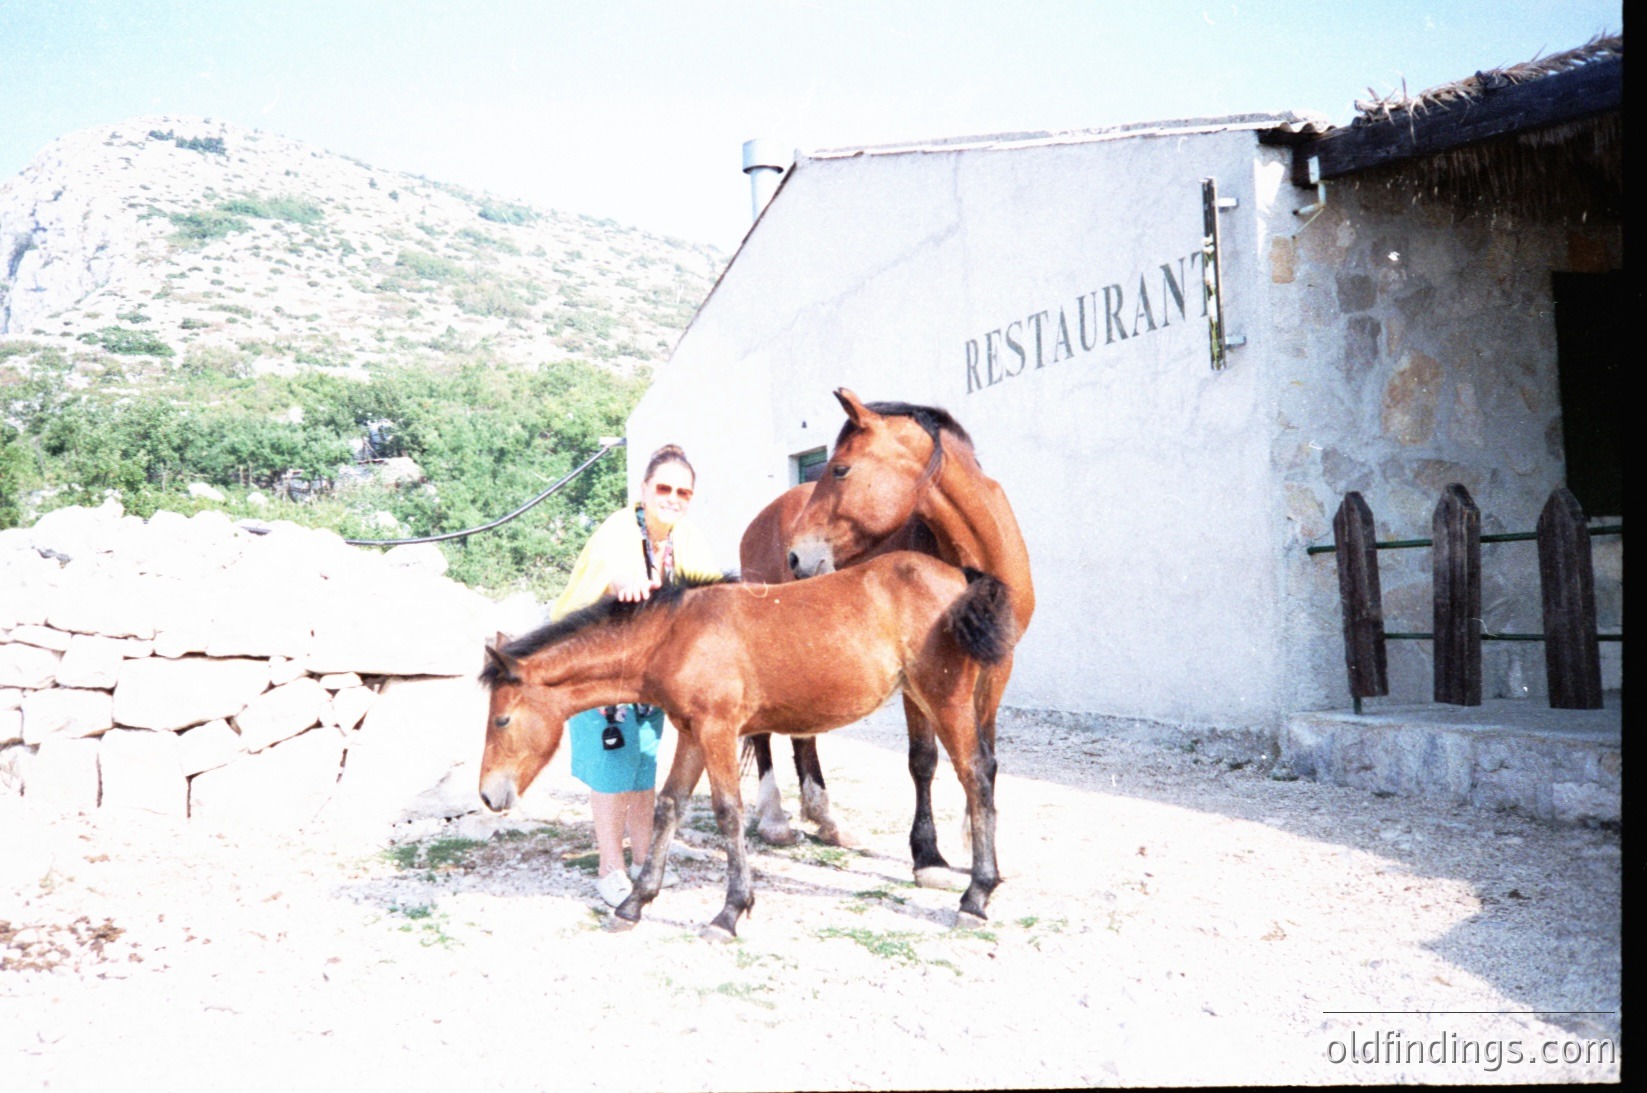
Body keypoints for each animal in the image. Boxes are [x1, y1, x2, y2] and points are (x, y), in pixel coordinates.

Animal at [477, 551, 1018, 938]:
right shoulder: (692, 733)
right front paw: (634, 902)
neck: (675, 635)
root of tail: (962, 576)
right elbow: (668, 806)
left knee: (975, 774)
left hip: (944, 699)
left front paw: (729, 912)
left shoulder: (718, 730)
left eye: (502, 719)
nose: (488, 795)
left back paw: (975, 897)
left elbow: (728, 812)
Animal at [784, 389, 1035, 889]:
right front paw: (928, 856)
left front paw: (979, 850)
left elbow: (985, 756)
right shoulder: (918, 678)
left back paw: (821, 819)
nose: (797, 556)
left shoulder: (997, 666)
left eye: (840, 469)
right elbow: (924, 759)